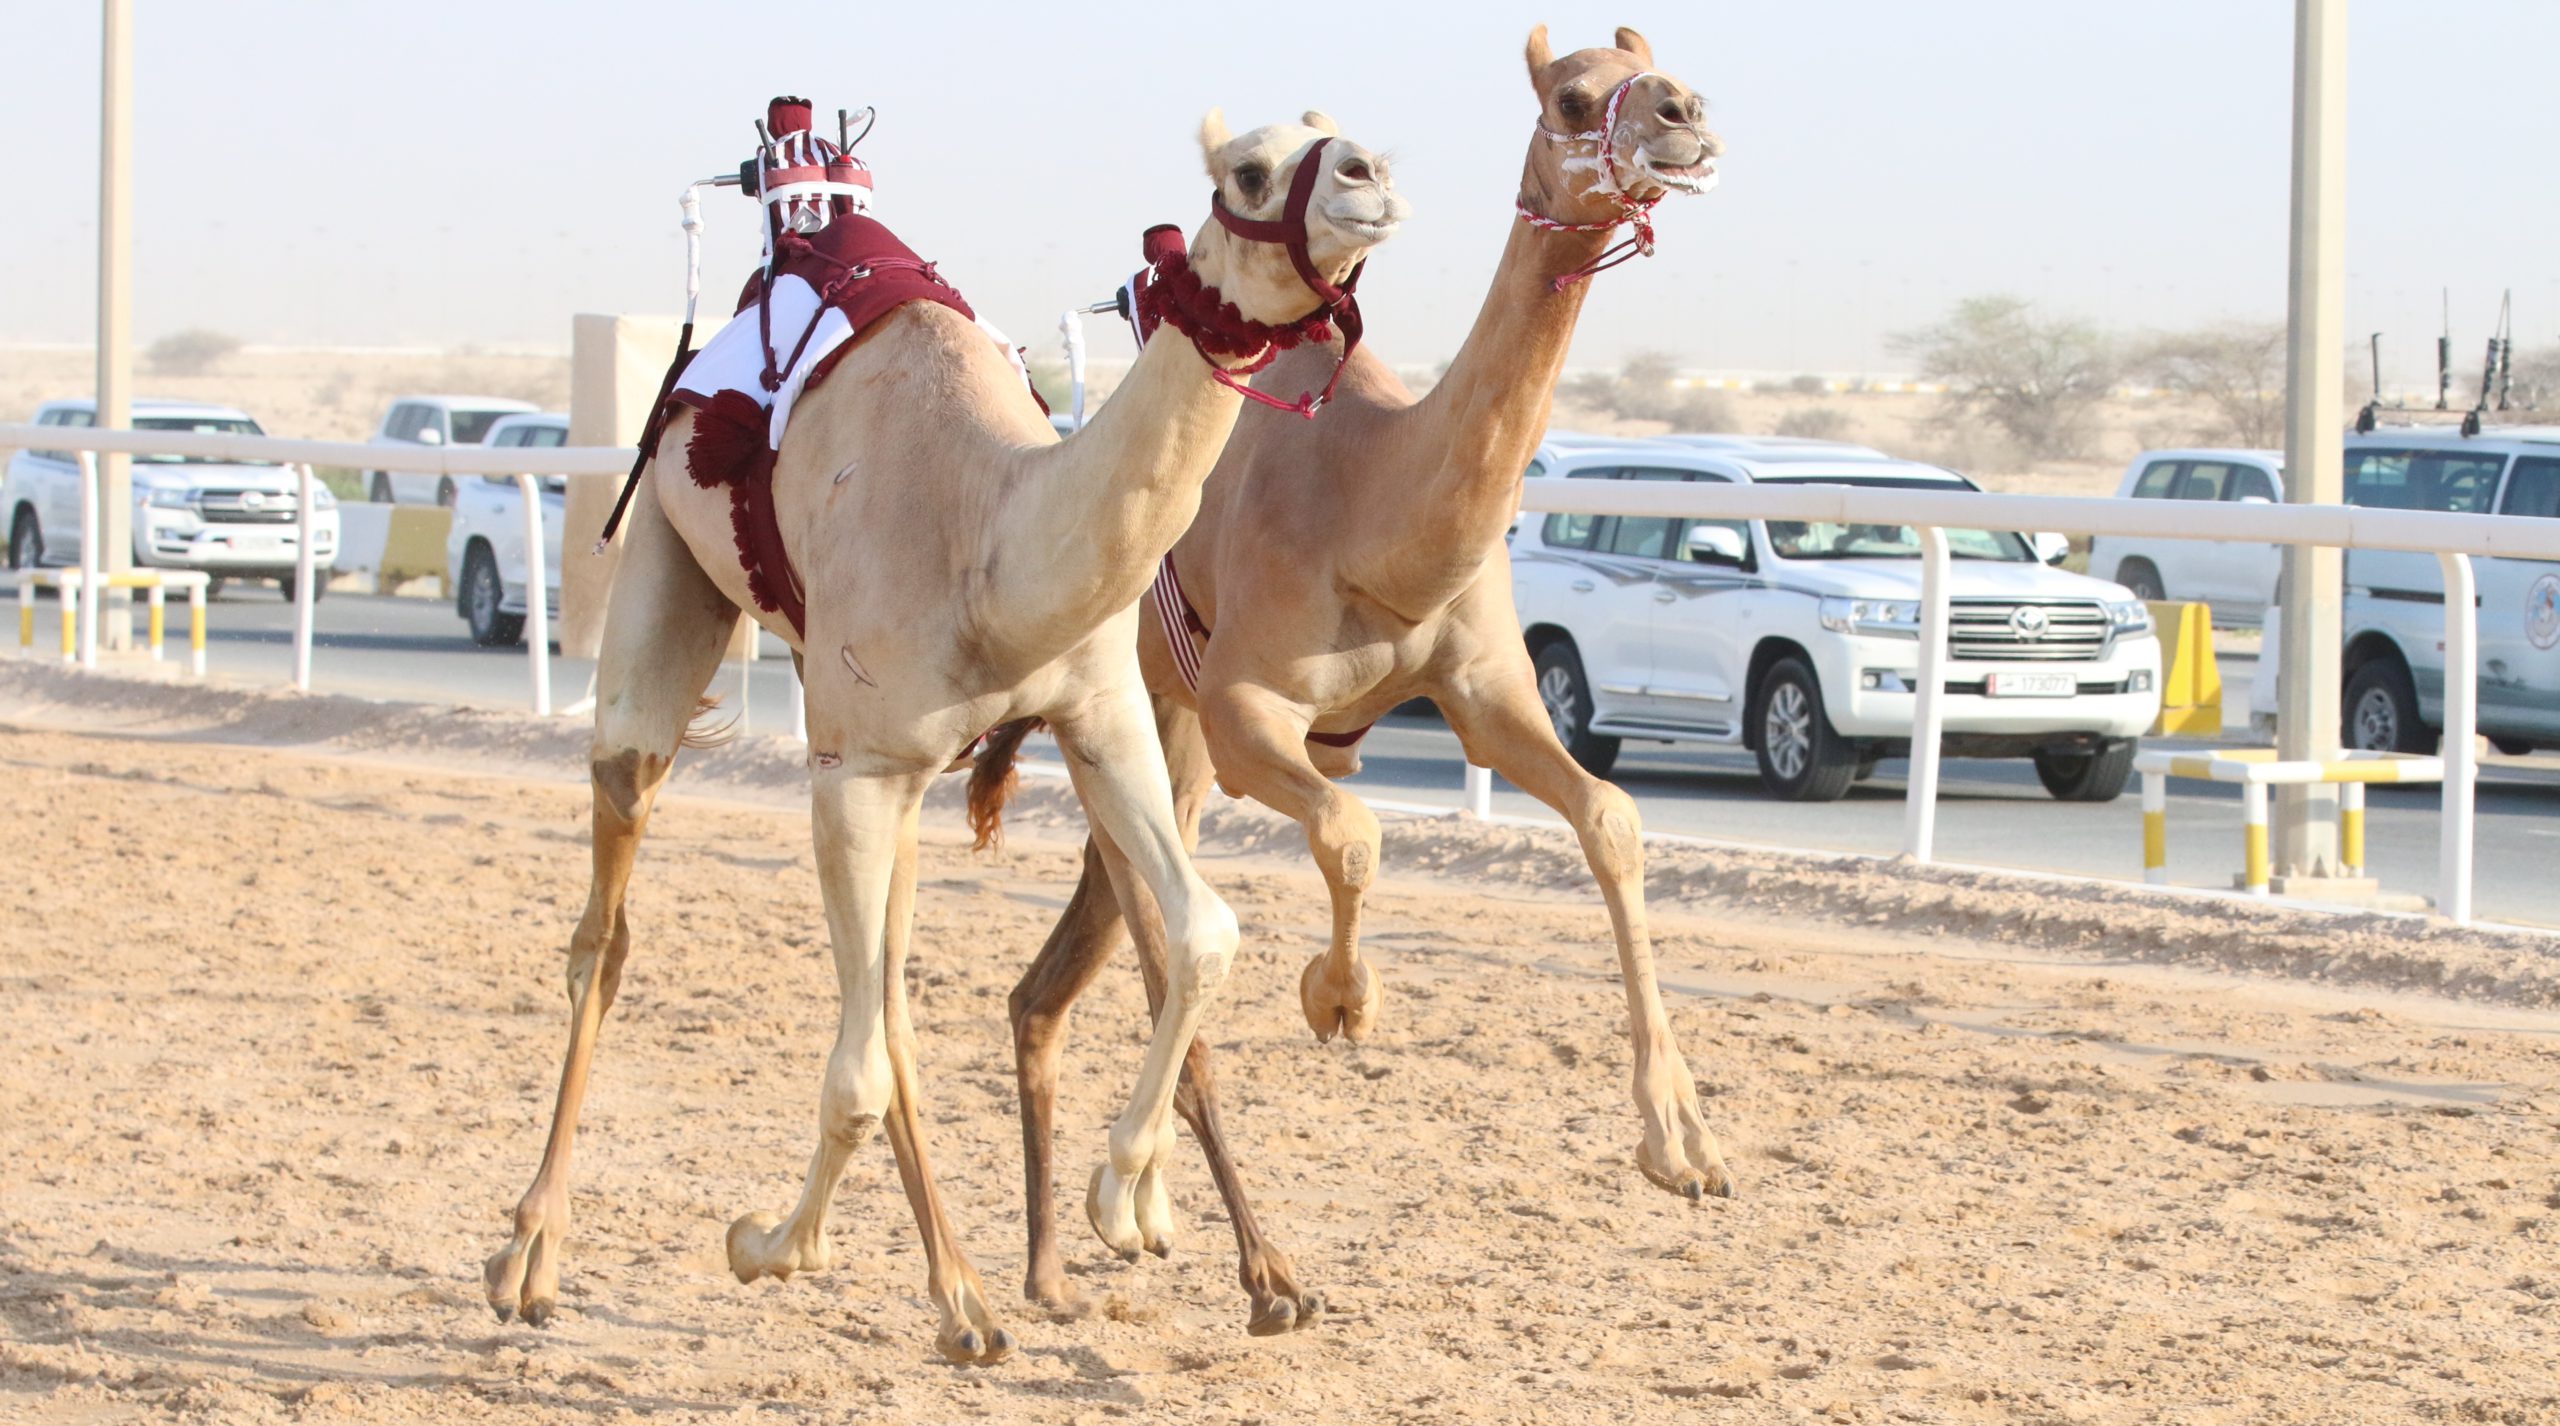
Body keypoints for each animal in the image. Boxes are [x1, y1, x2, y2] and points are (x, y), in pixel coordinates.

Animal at [481, 105, 1402, 1361]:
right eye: (1248, 170)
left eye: (1331, 133)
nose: (1370, 175)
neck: (991, 539)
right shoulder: (855, 767)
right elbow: (858, 1068)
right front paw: (764, 1245)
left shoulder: (1100, 718)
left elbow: (1202, 932)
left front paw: (1124, 1197)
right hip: (668, 586)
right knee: (608, 930)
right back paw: (528, 1256)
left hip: (911, 770)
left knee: (885, 995)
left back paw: (962, 1295)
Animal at [977, 24, 1740, 1331]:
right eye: (1572, 96)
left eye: (1662, 64)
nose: (1682, 115)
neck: (1376, 508)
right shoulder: (1248, 708)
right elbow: (1353, 832)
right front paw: (1339, 997)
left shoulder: (1487, 698)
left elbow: (1611, 816)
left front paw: (1680, 1140)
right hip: (1143, 710)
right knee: (1153, 924)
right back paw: (1167, 1223)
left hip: (1163, 733)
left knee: (1065, 968)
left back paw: (1100, 1239)